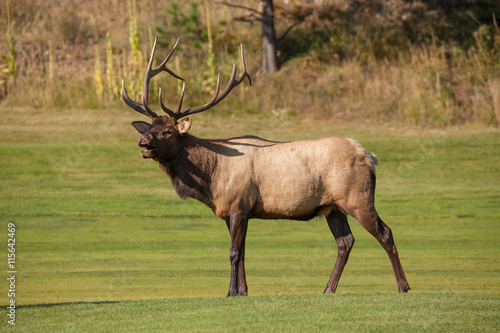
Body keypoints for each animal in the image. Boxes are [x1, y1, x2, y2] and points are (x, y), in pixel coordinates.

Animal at [122, 39, 410, 296]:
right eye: (150, 127)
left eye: (168, 131)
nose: (142, 140)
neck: (211, 179)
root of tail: (369, 155)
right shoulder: (234, 211)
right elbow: (243, 252)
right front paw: (243, 291)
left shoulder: (239, 204)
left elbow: (234, 252)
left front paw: (230, 292)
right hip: (333, 207)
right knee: (345, 242)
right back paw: (328, 289)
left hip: (358, 197)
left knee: (385, 233)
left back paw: (402, 286)